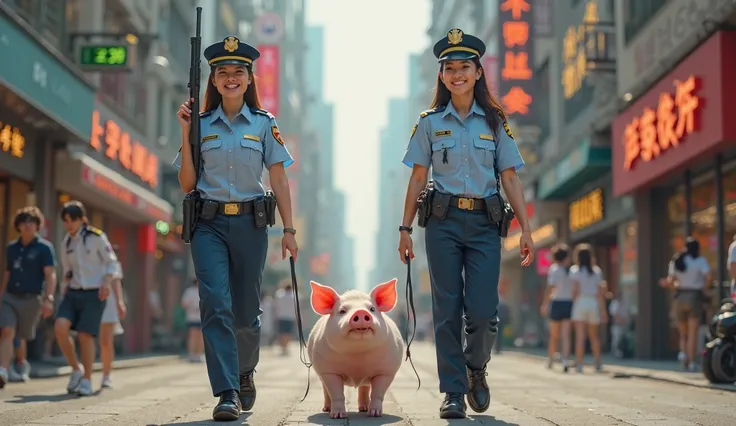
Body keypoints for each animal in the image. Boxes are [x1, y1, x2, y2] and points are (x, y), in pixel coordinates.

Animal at [308, 278, 406, 418]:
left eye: (372, 309)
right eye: (342, 311)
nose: (360, 312)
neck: (358, 355)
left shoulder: (386, 372)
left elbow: (378, 394)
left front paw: (375, 414)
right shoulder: (328, 371)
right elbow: (336, 394)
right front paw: (337, 416)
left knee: (364, 388)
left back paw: (364, 409)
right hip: (321, 374)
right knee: (326, 391)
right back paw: (326, 409)